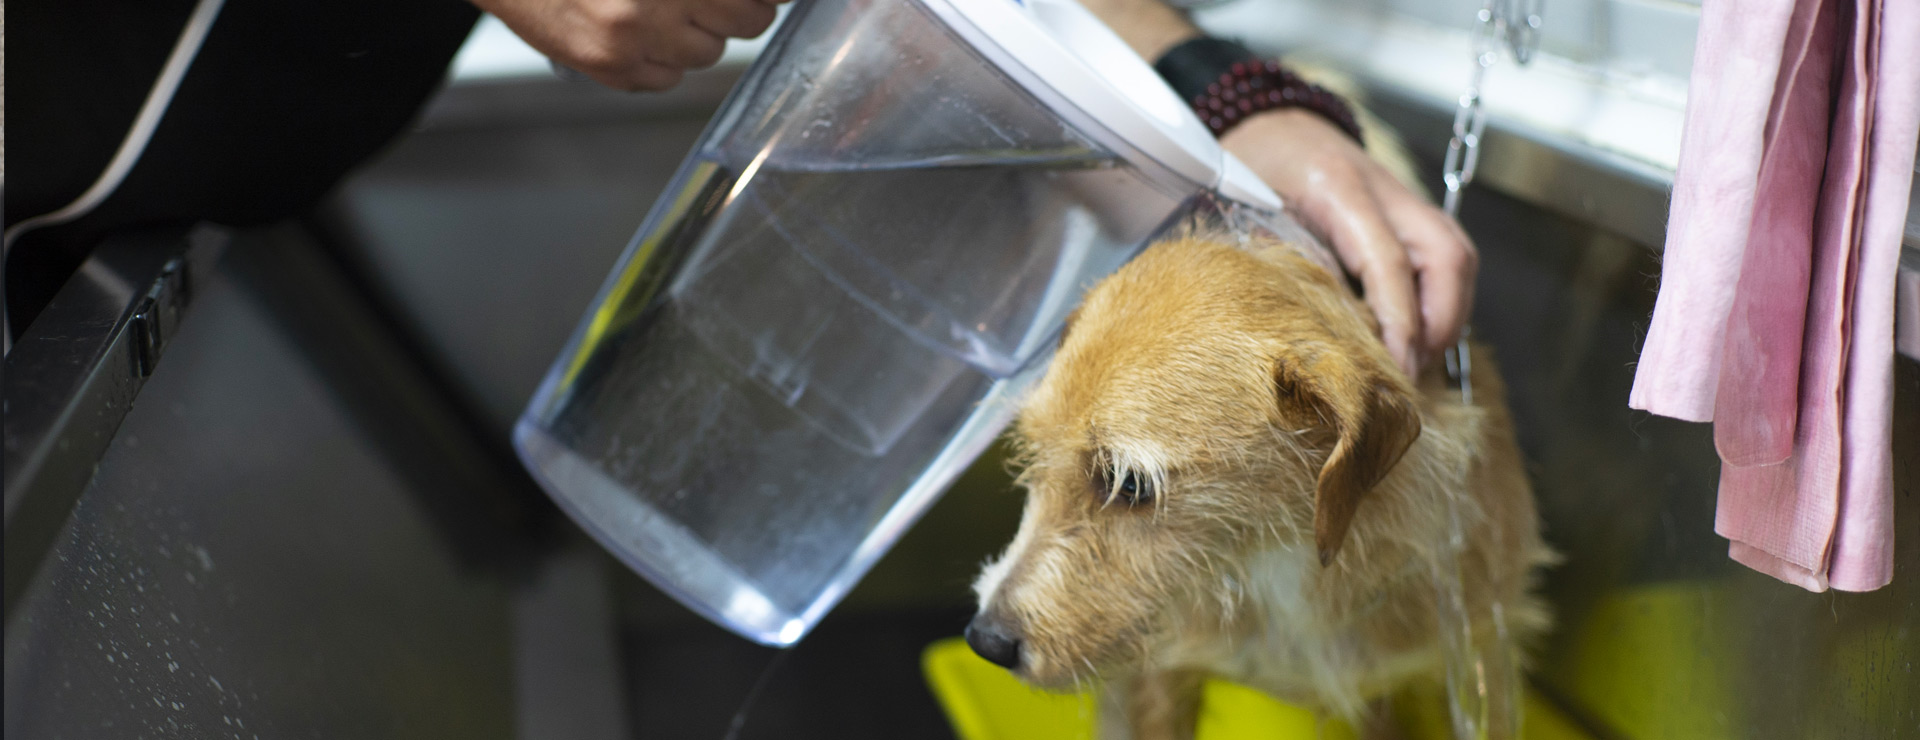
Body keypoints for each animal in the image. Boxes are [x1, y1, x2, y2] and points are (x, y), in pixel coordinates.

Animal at [967, 227, 1551, 734]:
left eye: (1129, 484)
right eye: (1034, 451)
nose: (984, 640)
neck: (1272, 566)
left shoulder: (1486, 654)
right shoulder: (1161, 675)